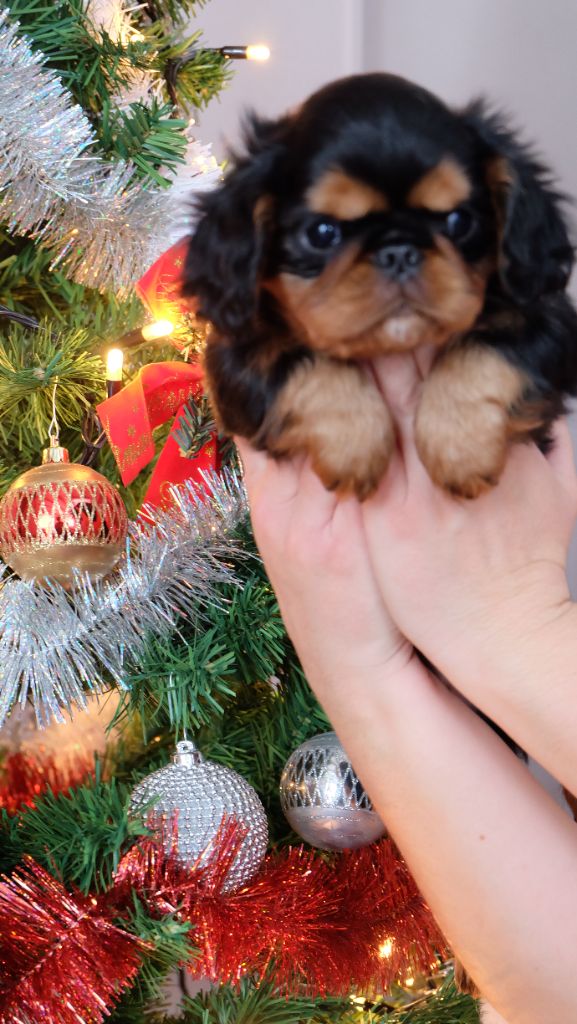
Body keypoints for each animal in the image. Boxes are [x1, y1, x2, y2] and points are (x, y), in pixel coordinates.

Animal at [181, 73, 577, 499]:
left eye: (458, 221)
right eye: (322, 232)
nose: (398, 251)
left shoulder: (548, 323)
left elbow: (484, 349)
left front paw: (460, 446)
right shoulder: (235, 354)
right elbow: (304, 362)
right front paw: (354, 445)